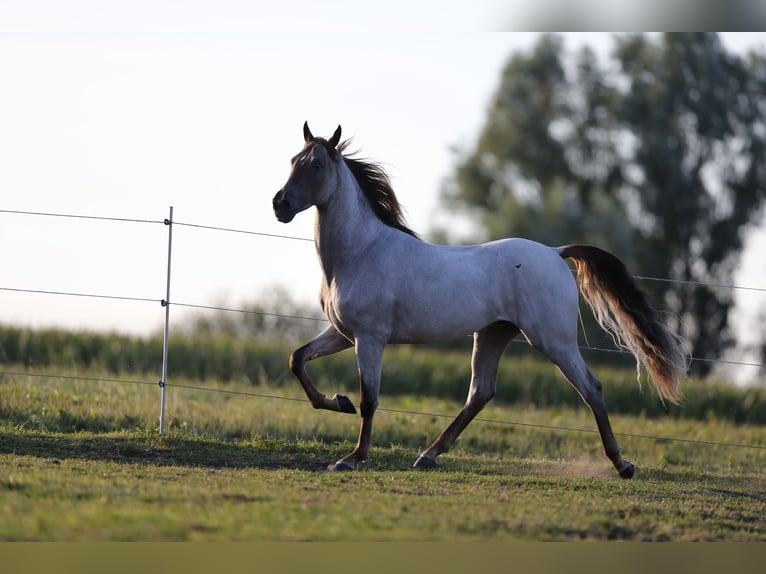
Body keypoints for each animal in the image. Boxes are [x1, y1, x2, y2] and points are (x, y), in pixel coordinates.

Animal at [272, 124, 688, 480]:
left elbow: (370, 399)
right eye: (293, 160)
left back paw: (622, 464)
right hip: (493, 334)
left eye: (317, 165)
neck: (360, 252)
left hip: (552, 340)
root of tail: (556, 252)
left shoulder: (369, 338)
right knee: (481, 392)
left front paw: (351, 458)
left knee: (591, 387)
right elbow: (297, 360)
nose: (281, 204)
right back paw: (428, 456)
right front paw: (338, 402)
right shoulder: (343, 334)